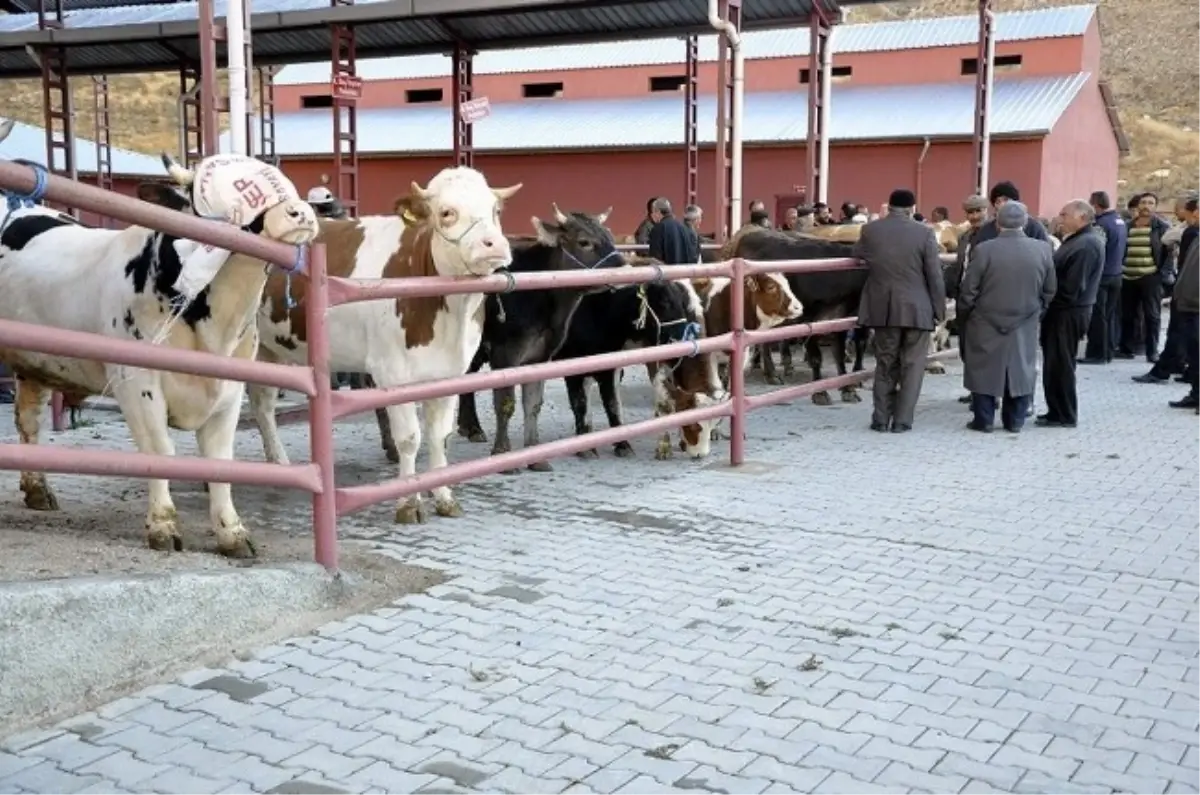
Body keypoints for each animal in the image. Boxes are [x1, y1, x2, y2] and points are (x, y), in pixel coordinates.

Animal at [0, 151, 319, 559]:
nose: (301, 212)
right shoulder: (136, 383)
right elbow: (159, 451)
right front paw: (163, 525)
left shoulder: (230, 389)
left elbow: (220, 461)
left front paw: (232, 532)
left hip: (34, 364)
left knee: (28, 420)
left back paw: (38, 489)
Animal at [250, 168, 518, 525]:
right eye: (447, 212)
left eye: (496, 210)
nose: (495, 244)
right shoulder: (393, 373)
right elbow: (409, 439)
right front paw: (408, 503)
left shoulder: (450, 373)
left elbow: (440, 436)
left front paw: (444, 497)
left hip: (269, 348)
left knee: (262, 404)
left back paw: (279, 463)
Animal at [451, 205, 619, 470]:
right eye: (584, 242)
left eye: (611, 237)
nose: (623, 264)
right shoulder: (505, 353)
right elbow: (505, 402)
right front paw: (503, 455)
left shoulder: (540, 356)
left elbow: (533, 403)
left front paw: (534, 455)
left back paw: (472, 428)